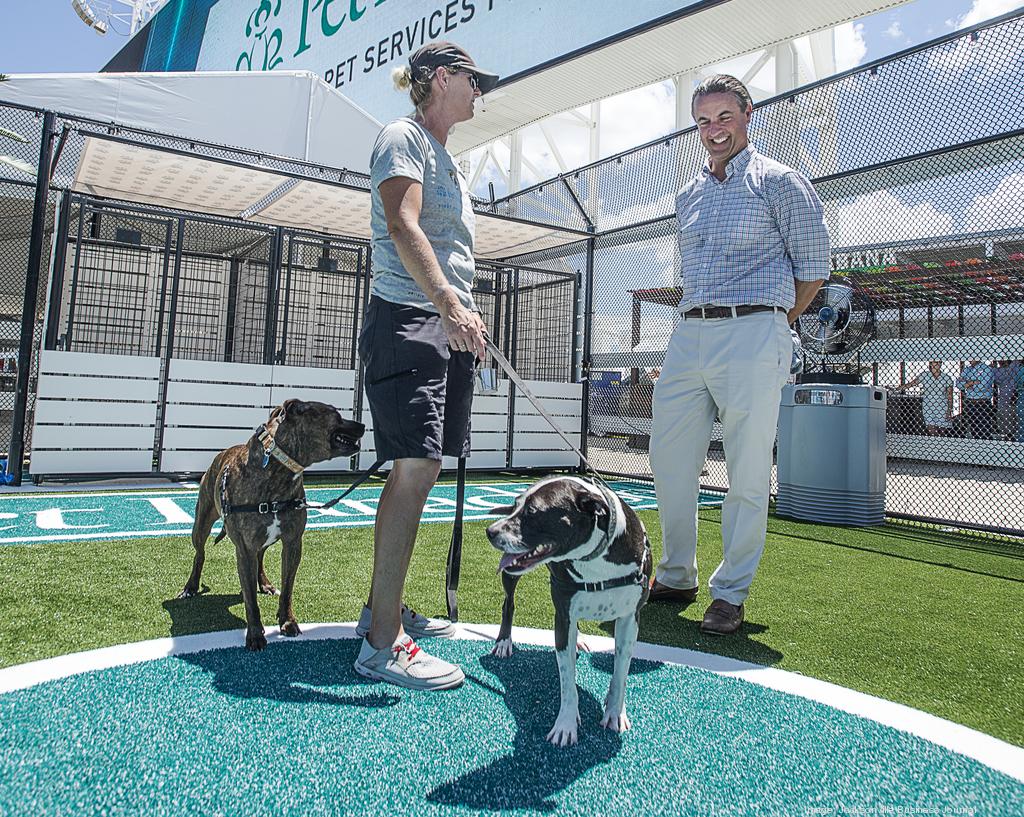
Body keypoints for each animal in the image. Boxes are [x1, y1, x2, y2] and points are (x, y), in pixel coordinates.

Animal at [179, 399, 364, 651]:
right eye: (335, 414)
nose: (363, 425)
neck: (279, 470)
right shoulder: (244, 548)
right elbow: (250, 599)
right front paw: (255, 634)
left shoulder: (293, 543)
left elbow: (287, 590)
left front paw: (287, 622)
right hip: (201, 524)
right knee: (200, 554)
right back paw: (190, 587)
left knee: (260, 558)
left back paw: (265, 584)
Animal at [485, 473, 647, 749]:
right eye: (516, 504)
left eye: (533, 511)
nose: (491, 531)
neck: (594, 559)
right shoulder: (562, 618)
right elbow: (568, 683)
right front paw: (566, 726)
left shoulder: (630, 619)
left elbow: (621, 672)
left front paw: (615, 712)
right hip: (511, 576)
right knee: (508, 603)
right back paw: (504, 642)